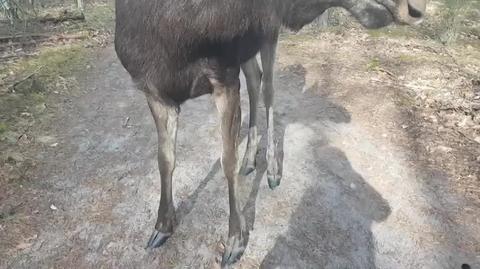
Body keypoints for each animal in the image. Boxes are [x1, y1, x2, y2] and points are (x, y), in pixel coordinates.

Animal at [114, 0, 426, 264]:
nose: (417, 8)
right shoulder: (153, 89)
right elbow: (165, 158)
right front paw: (162, 226)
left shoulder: (225, 76)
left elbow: (227, 162)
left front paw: (235, 241)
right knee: (256, 79)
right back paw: (251, 159)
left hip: (267, 32)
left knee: (268, 88)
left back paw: (272, 169)